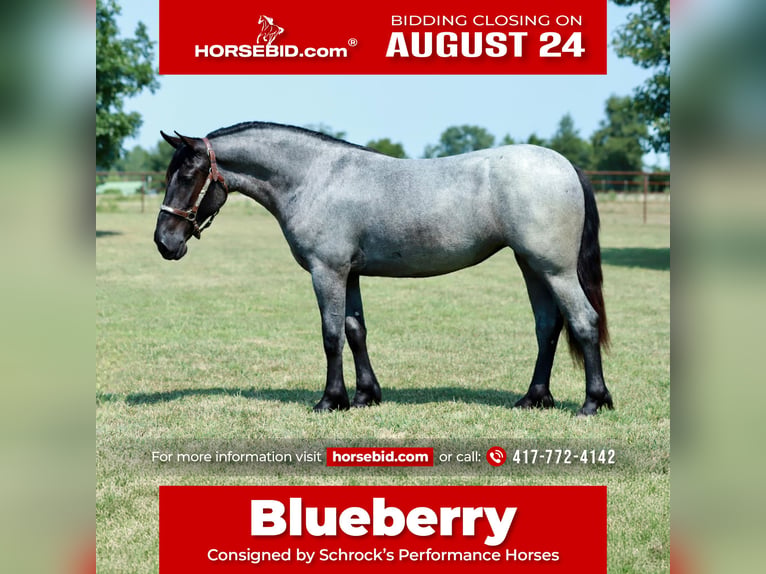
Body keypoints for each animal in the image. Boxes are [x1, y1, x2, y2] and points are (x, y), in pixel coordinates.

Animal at [154, 122, 613, 416]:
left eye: (190, 173)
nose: (164, 242)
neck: (316, 177)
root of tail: (565, 165)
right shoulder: (349, 273)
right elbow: (356, 330)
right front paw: (365, 396)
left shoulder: (327, 271)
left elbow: (331, 335)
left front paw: (330, 400)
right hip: (531, 266)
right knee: (548, 326)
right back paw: (534, 398)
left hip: (554, 269)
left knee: (583, 321)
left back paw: (593, 402)